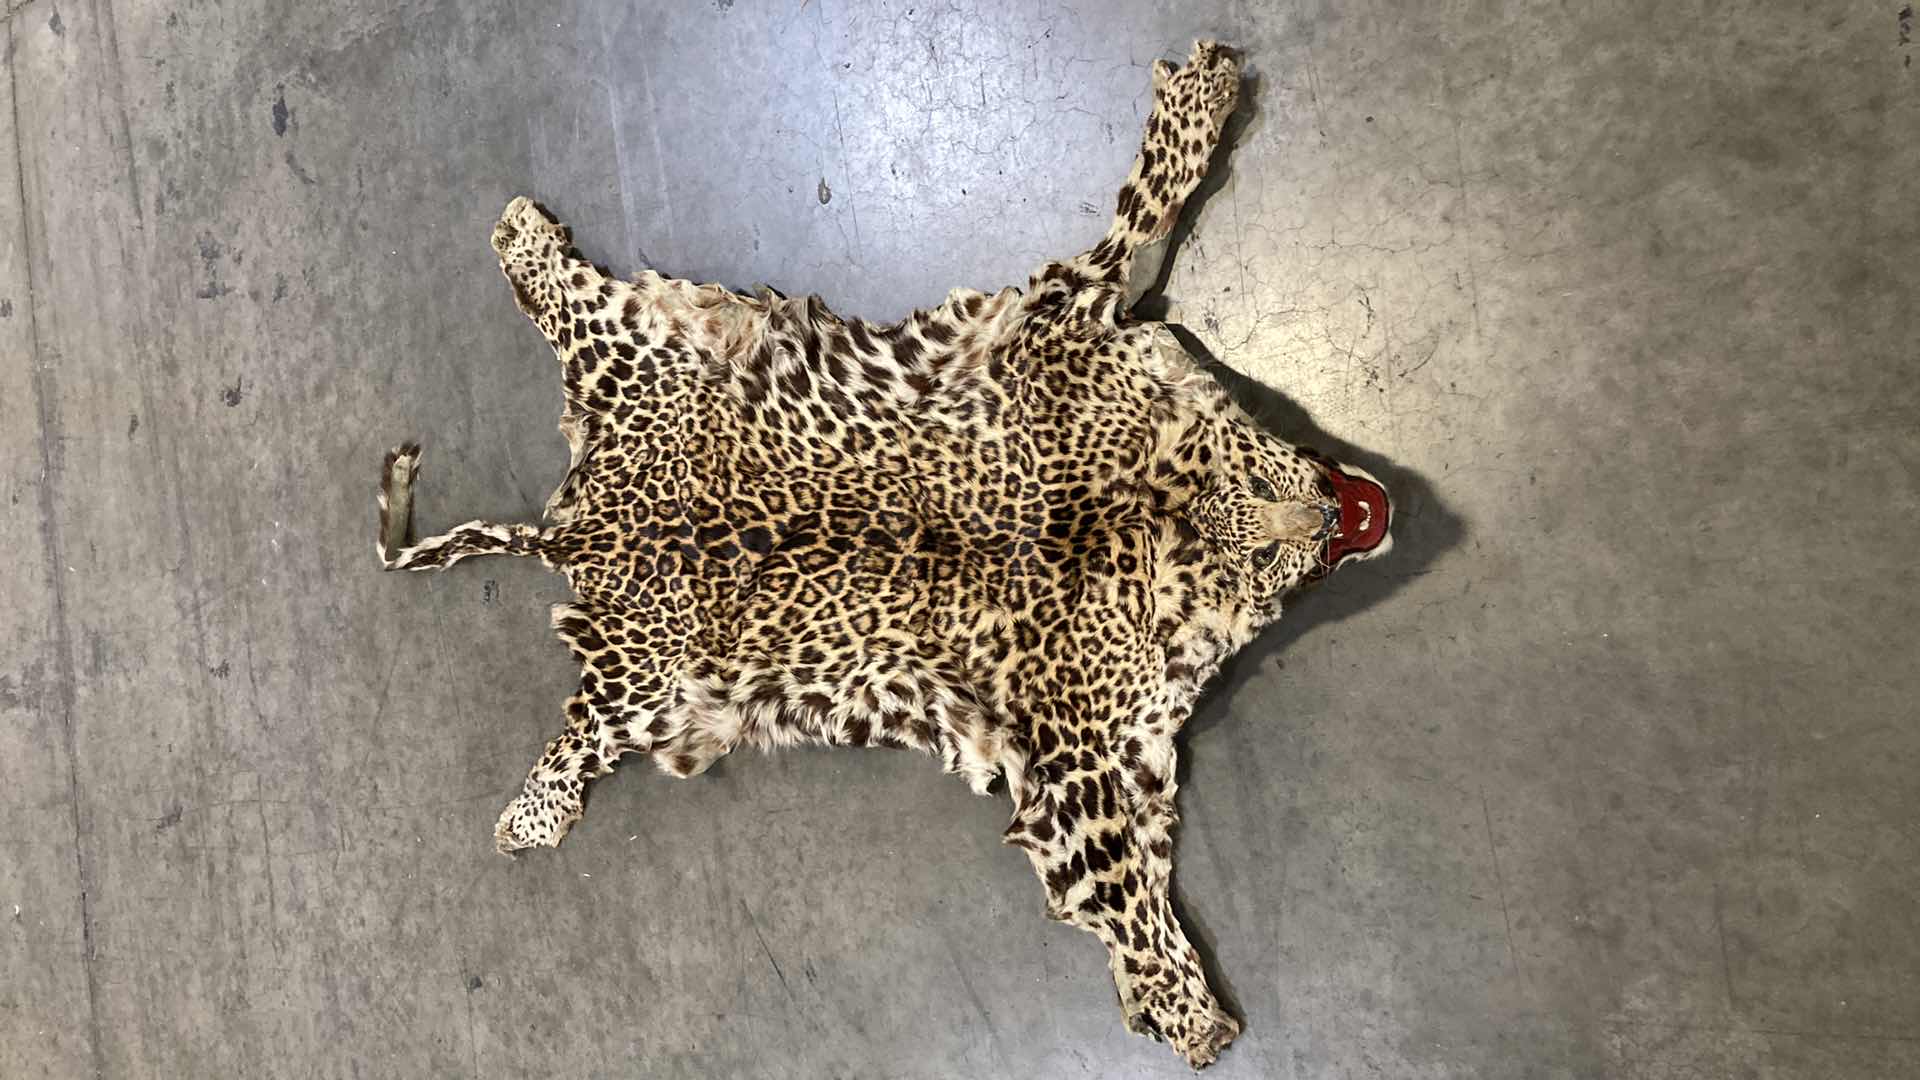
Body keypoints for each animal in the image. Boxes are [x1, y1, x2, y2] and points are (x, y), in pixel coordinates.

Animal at [373, 42, 1392, 1069]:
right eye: (1257, 516)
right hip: (640, 609)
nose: (1328, 517)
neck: (1145, 518)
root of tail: (575, 524)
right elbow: (1143, 209)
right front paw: (1189, 1009)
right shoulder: (1072, 763)